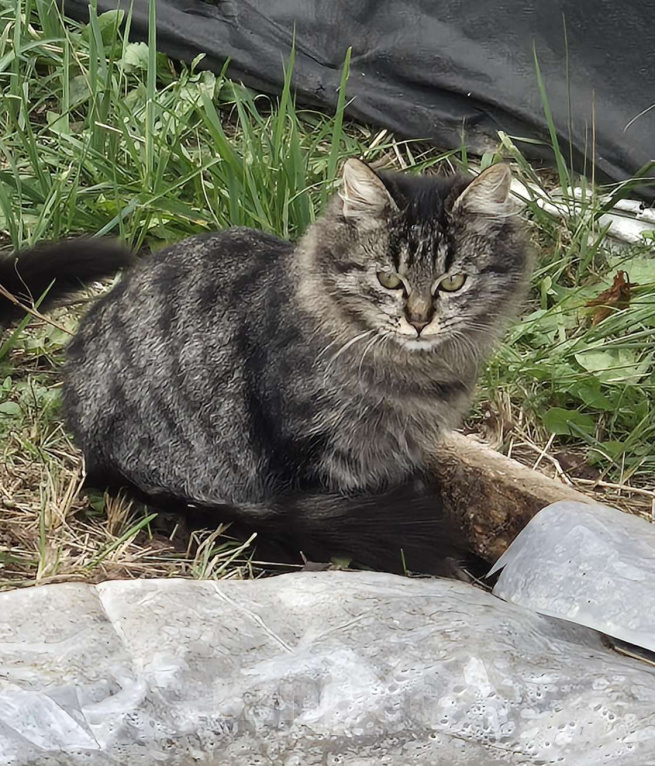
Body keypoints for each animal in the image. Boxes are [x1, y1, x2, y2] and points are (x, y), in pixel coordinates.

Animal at [0, 160, 532, 576]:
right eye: (388, 278)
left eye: (454, 281)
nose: (419, 320)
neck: (413, 375)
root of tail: (93, 449)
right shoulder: (313, 451)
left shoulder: (394, 452)